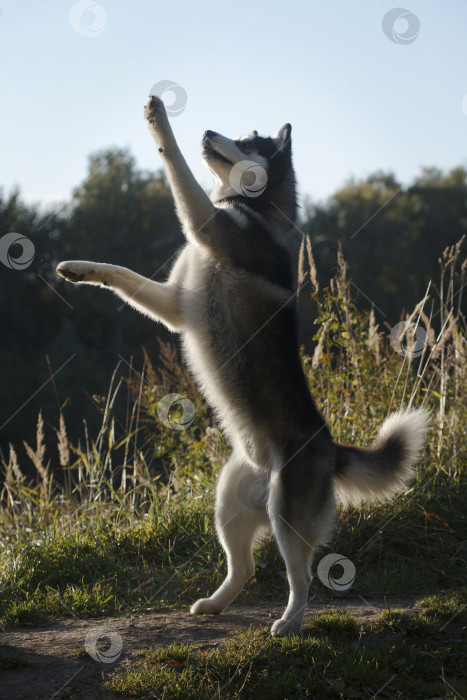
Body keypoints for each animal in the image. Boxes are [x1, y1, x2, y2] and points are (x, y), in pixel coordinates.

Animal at [56, 93, 430, 636]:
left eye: (248, 141)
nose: (209, 130)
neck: (250, 205)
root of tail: (330, 447)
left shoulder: (205, 223)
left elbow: (178, 168)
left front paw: (159, 118)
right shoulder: (173, 304)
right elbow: (121, 275)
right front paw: (79, 270)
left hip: (286, 513)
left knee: (303, 577)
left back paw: (289, 622)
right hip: (230, 499)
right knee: (246, 566)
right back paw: (215, 604)